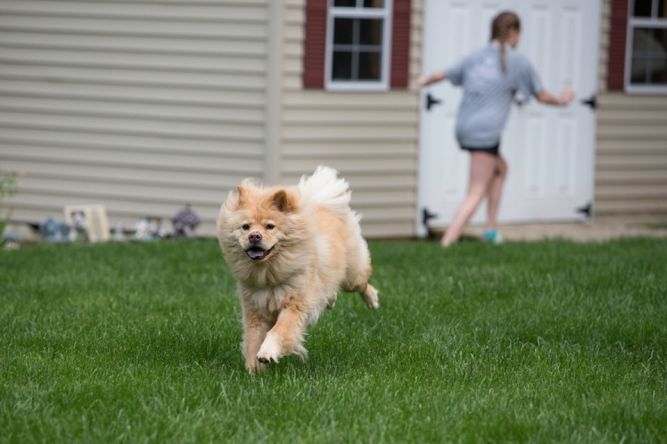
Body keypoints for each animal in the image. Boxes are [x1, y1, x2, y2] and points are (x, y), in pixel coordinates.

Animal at [217, 166, 378, 372]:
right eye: (245, 227)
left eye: (270, 226)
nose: (254, 236)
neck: (268, 275)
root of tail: (324, 205)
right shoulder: (255, 311)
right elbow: (253, 340)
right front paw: (254, 370)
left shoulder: (294, 306)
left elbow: (278, 332)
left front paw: (267, 353)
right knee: (329, 288)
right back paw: (330, 300)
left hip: (351, 275)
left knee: (362, 283)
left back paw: (372, 300)